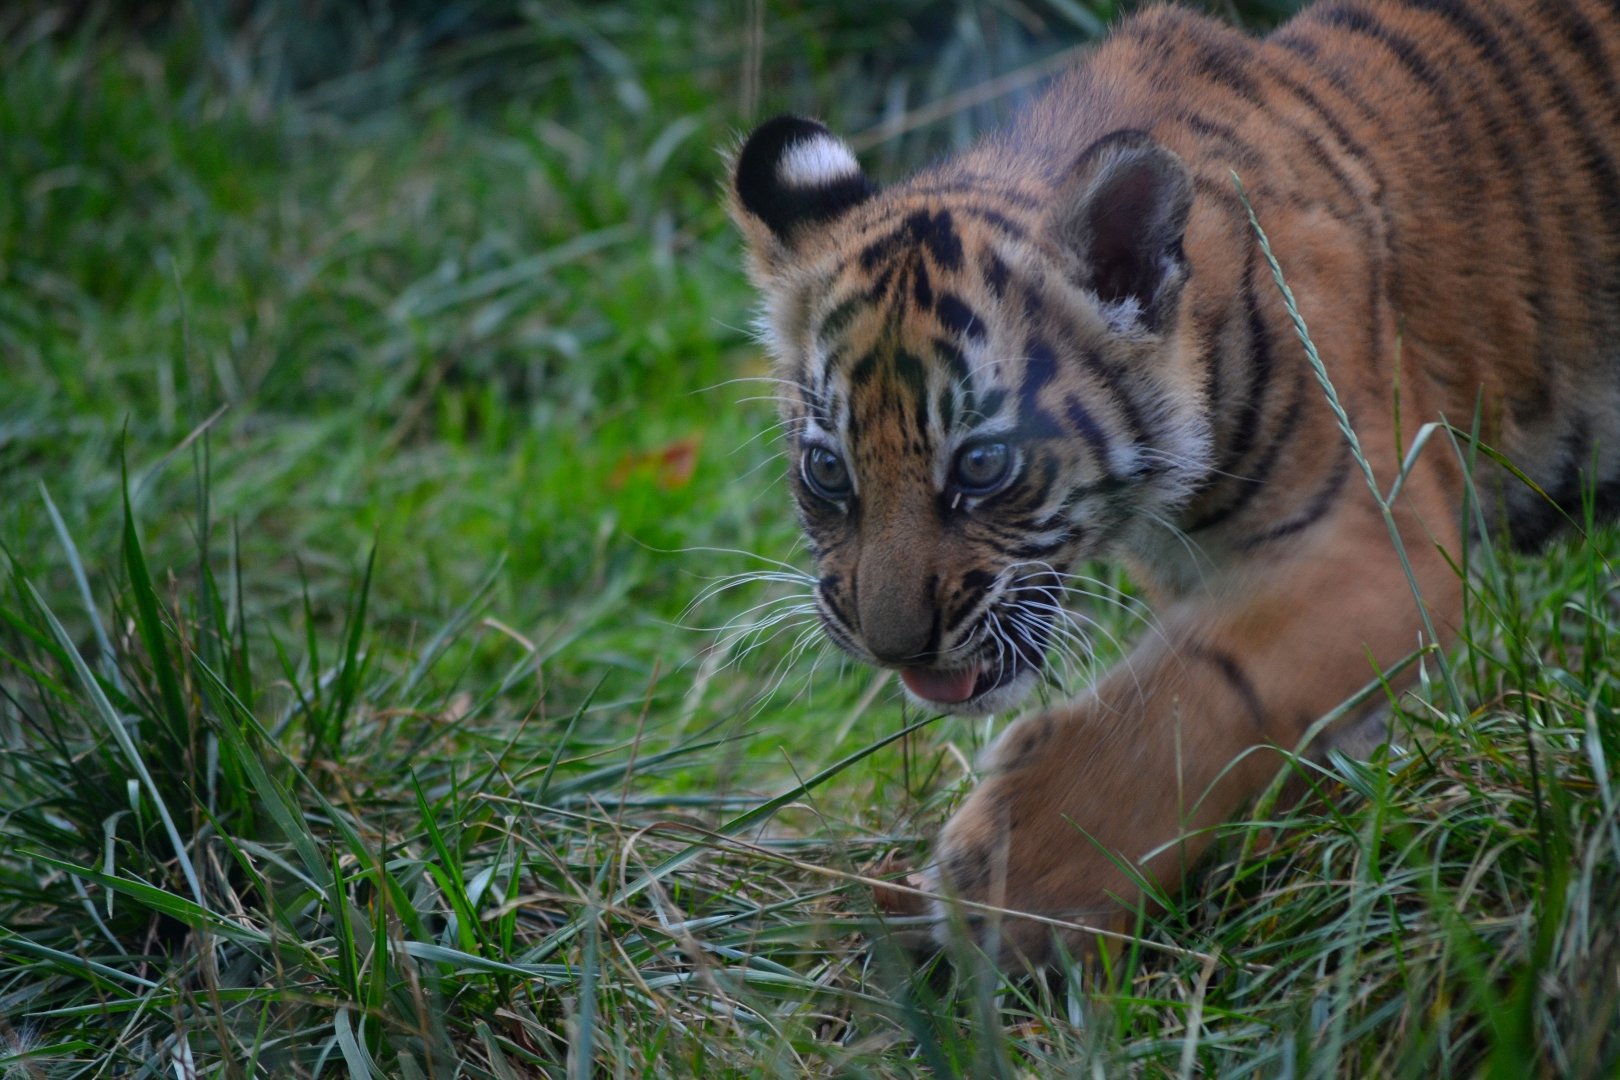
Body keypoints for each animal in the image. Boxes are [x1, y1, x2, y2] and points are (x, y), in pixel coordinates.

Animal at [727, 0, 1620, 968]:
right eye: (827, 470)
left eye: (981, 465)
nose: (893, 651)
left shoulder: (1377, 547)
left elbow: (1183, 704)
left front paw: (1007, 886)